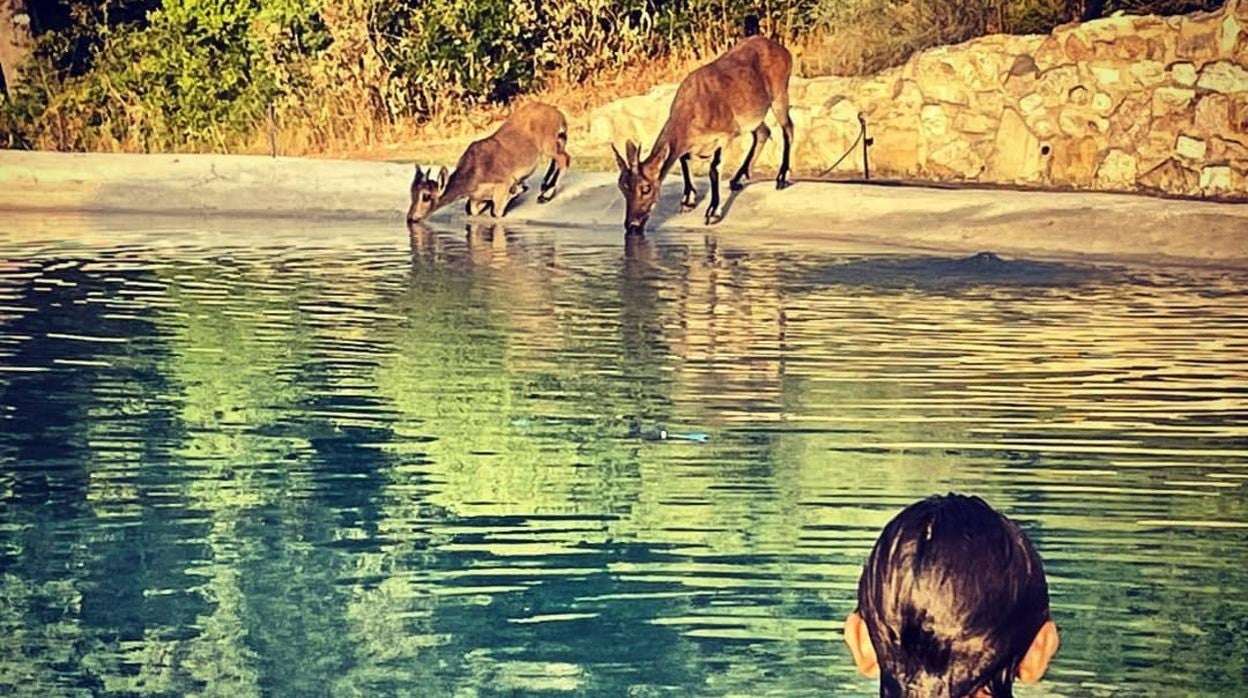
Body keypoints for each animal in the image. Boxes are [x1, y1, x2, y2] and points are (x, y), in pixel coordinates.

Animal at [406, 102, 571, 222]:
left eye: (426, 196)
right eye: (412, 193)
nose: (411, 218)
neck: (474, 172)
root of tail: (557, 113)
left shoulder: (502, 184)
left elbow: (496, 212)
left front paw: (519, 189)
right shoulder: (476, 198)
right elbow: (472, 209)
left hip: (548, 145)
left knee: (564, 159)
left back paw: (545, 195)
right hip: (555, 143)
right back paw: (544, 186)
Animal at [611, 34, 793, 235]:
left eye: (645, 188)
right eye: (622, 187)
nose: (632, 225)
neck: (692, 111)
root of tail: (784, 51)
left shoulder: (726, 134)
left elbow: (714, 168)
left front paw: (712, 212)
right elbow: (683, 159)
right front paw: (687, 201)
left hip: (779, 94)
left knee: (787, 128)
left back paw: (782, 178)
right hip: (753, 115)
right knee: (763, 131)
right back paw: (737, 179)